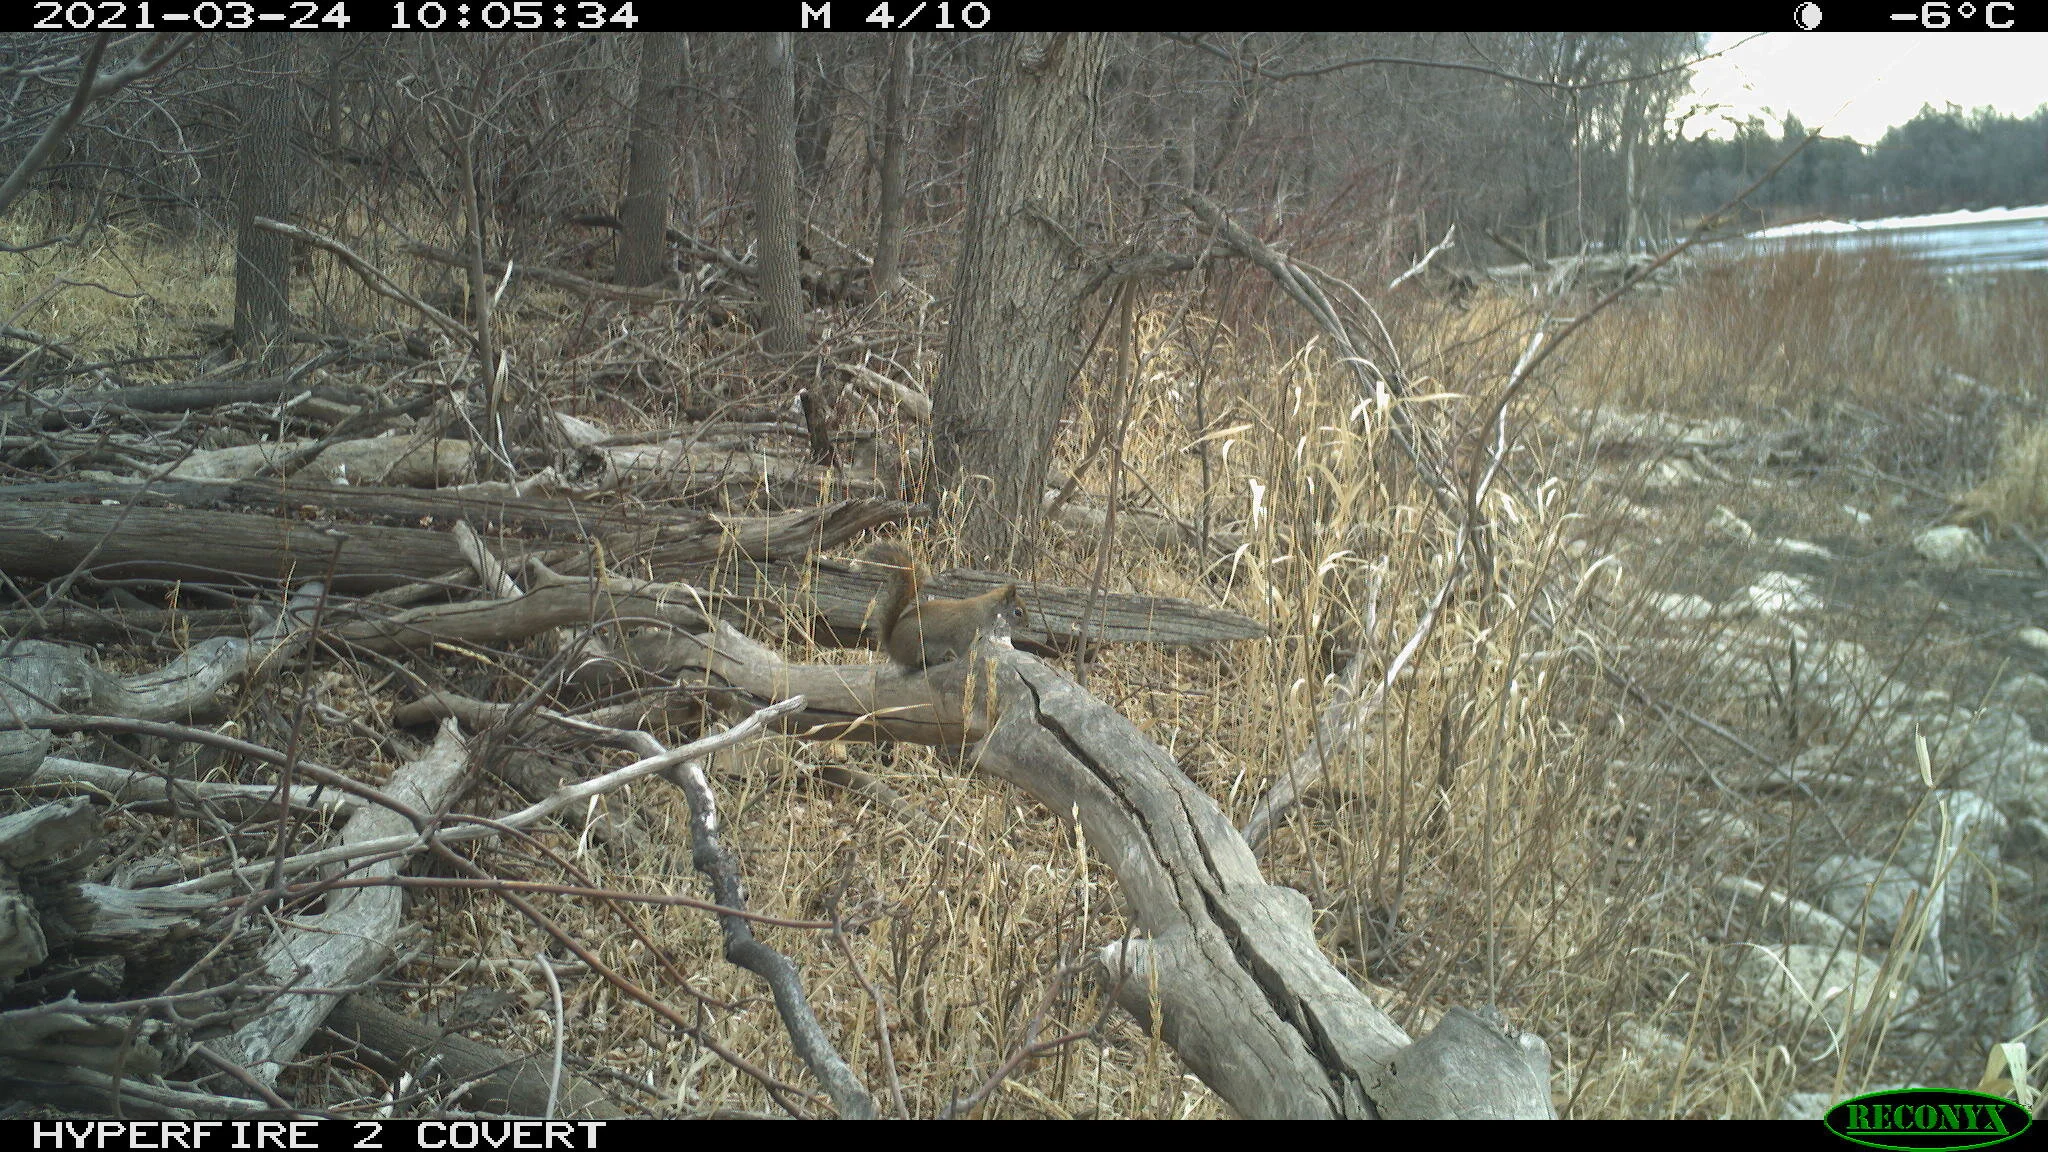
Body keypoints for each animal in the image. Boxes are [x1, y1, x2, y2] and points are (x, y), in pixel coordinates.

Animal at [861, 542, 1027, 669]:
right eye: (1018, 612)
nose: (1027, 625)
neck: (988, 610)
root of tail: (892, 645)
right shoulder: (964, 632)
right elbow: (962, 649)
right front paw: (967, 658)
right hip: (916, 645)